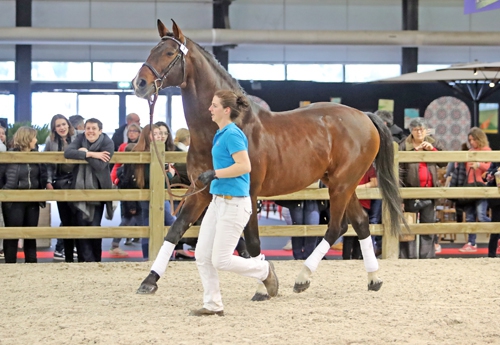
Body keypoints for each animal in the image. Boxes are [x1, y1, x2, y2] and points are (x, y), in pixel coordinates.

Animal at [133, 19, 406, 298]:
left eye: (169, 53)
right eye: (152, 50)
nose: (139, 83)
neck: (224, 128)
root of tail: (365, 117)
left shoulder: (250, 193)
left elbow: (253, 242)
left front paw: (264, 286)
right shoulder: (200, 190)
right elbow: (175, 231)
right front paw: (150, 280)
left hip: (342, 185)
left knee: (336, 228)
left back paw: (303, 277)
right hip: (342, 184)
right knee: (360, 223)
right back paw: (373, 279)